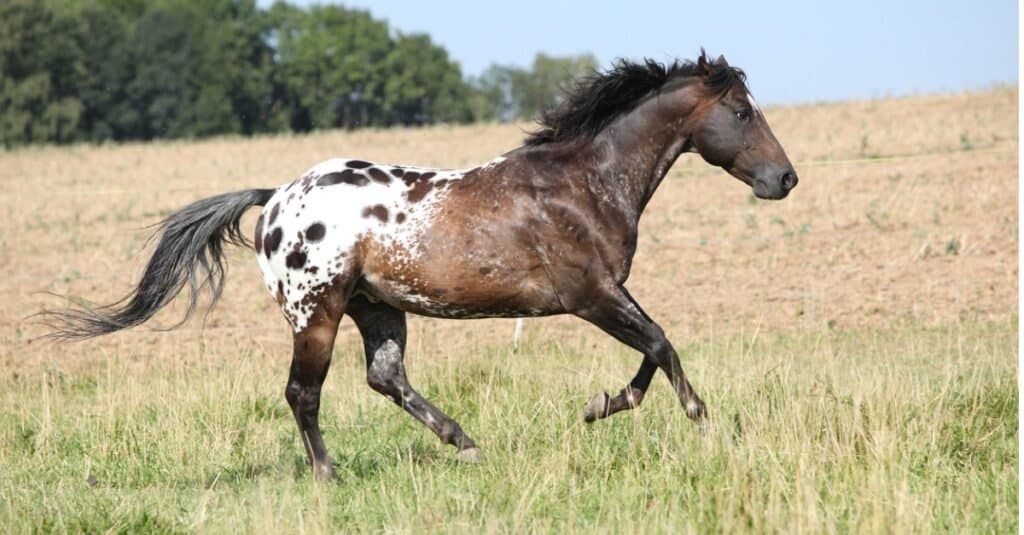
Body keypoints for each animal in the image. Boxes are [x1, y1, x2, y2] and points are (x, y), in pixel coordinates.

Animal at [44, 50, 798, 479]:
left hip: (378, 307)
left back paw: (465, 443)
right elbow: (661, 344)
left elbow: (651, 349)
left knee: (385, 377)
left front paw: (601, 405)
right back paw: (330, 475)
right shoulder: (591, 293)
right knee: (303, 393)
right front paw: (694, 418)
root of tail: (276, 197)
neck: (586, 182)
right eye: (741, 110)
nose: (784, 179)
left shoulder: (605, 294)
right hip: (317, 311)